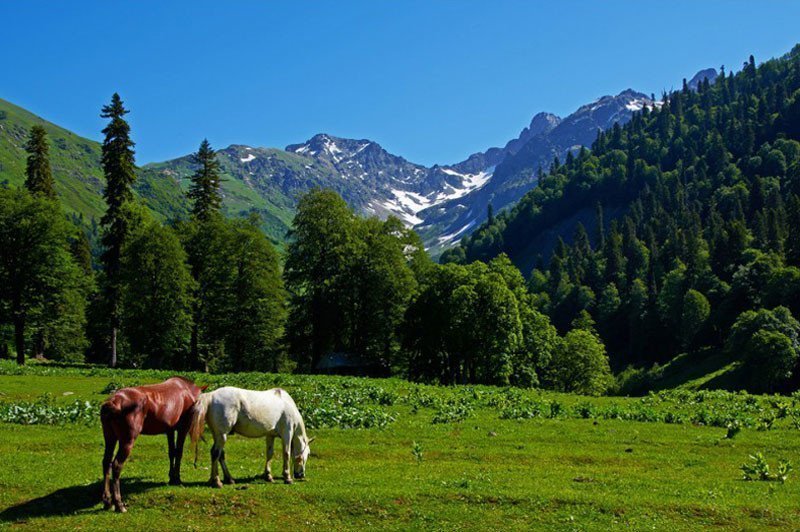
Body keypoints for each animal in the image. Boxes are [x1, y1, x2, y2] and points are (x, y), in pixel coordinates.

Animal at [100, 376, 208, 512]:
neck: (187, 392)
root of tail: (113, 401)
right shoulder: (182, 429)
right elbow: (179, 452)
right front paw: (177, 478)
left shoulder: (169, 430)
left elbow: (172, 452)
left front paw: (171, 477)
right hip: (127, 441)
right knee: (116, 465)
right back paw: (118, 503)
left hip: (110, 438)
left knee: (106, 462)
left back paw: (107, 501)